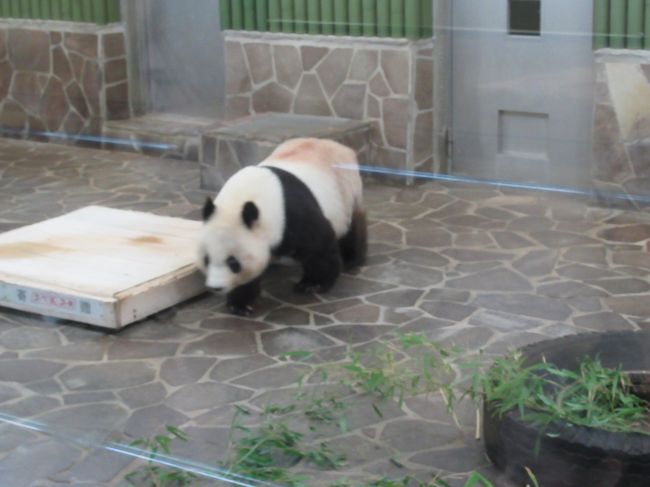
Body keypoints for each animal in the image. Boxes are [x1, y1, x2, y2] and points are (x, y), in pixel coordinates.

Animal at [195, 138, 368, 316]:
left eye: (233, 262)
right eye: (206, 259)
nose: (216, 287)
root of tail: (339, 146)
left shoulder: (292, 215)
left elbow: (320, 245)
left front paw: (312, 284)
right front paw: (240, 304)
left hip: (347, 192)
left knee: (351, 229)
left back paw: (351, 259)